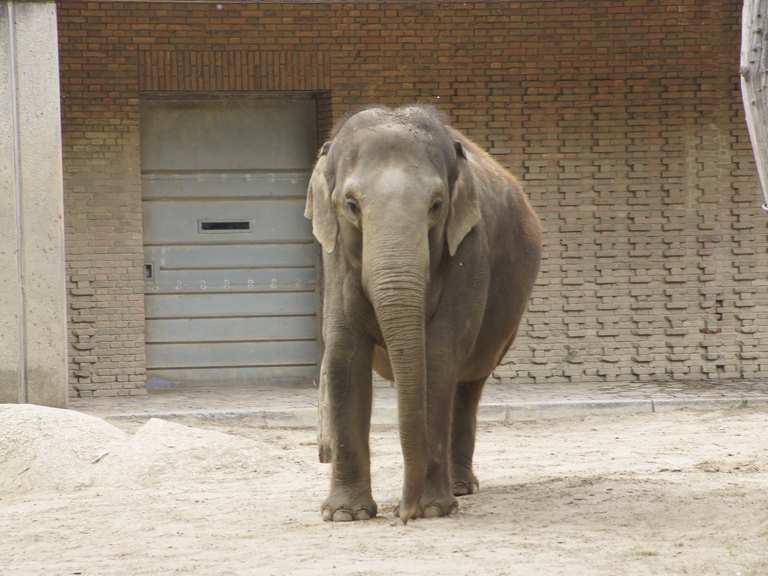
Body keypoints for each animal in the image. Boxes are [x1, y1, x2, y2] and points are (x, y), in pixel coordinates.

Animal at [304, 103, 544, 520]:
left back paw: (461, 488)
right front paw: (346, 515)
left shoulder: (469, 246)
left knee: (469, 383)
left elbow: (440, 354)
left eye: (436, 205)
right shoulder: (334, 254)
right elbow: (343, 354)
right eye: (351, 205)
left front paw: (433, 510)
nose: (405, 513)